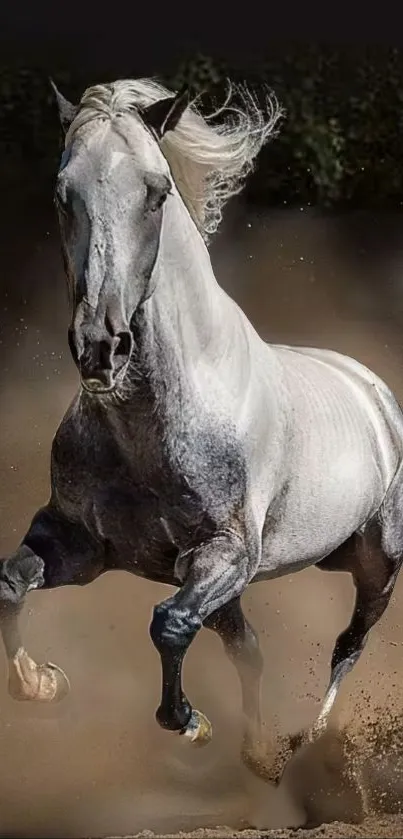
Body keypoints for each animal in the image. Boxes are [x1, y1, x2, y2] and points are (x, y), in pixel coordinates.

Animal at [2, 74, 403, 796]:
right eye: (62, 193)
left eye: (155, 191)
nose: (101, 347)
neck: (147, 429)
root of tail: (369, 383)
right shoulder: (80, 546)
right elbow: (11, 585)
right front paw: (44, 683)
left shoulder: (226, 554)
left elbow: (167, 624)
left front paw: (192, 723)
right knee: (250, 648)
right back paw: (263, 754)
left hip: (377, 564)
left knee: (346, 645)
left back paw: (313, 748)